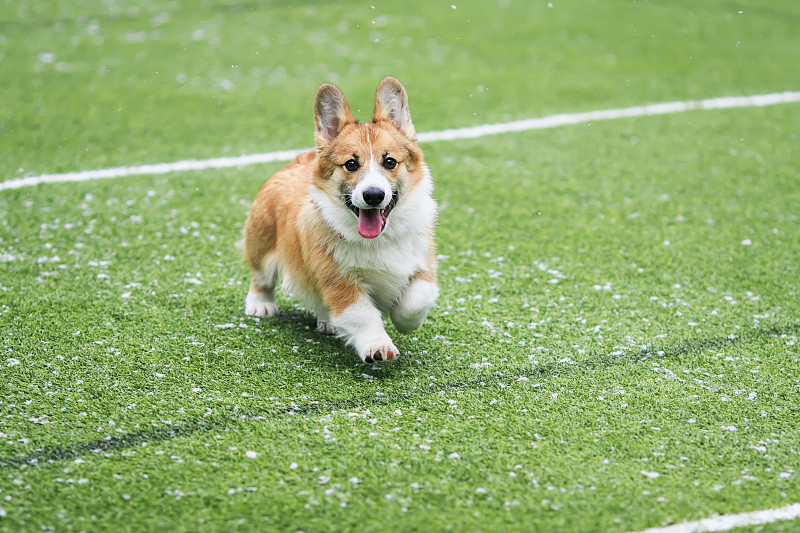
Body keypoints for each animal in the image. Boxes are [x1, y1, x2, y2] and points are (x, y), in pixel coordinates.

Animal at [244, 78, 440, 362]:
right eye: (351, 164)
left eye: (389, 161)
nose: (373, 195)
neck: (379, 240)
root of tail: (298, 160)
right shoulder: (339, 282)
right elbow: (363, 315)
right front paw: (378, 346)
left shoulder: (423, 263)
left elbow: (416, 301)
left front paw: (404, 322)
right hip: (261, 243)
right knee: (261, 278)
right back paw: (261, 305)